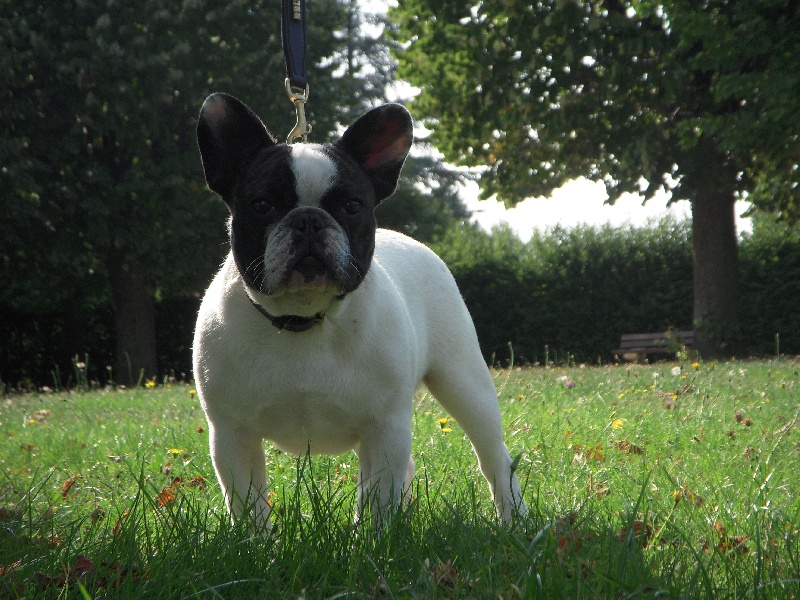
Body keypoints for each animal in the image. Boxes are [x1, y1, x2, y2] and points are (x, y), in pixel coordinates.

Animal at [193, 94, 528, 528]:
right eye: (262, 205)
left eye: (352, 206)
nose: (308, 220)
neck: (305, 319)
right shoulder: (233, 434)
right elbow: (249, 505)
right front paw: (257, 543)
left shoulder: (384, 427)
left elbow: (377, 501)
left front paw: (373, 540)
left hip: (464, 382)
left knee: (494, 459)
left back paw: (515, 518)